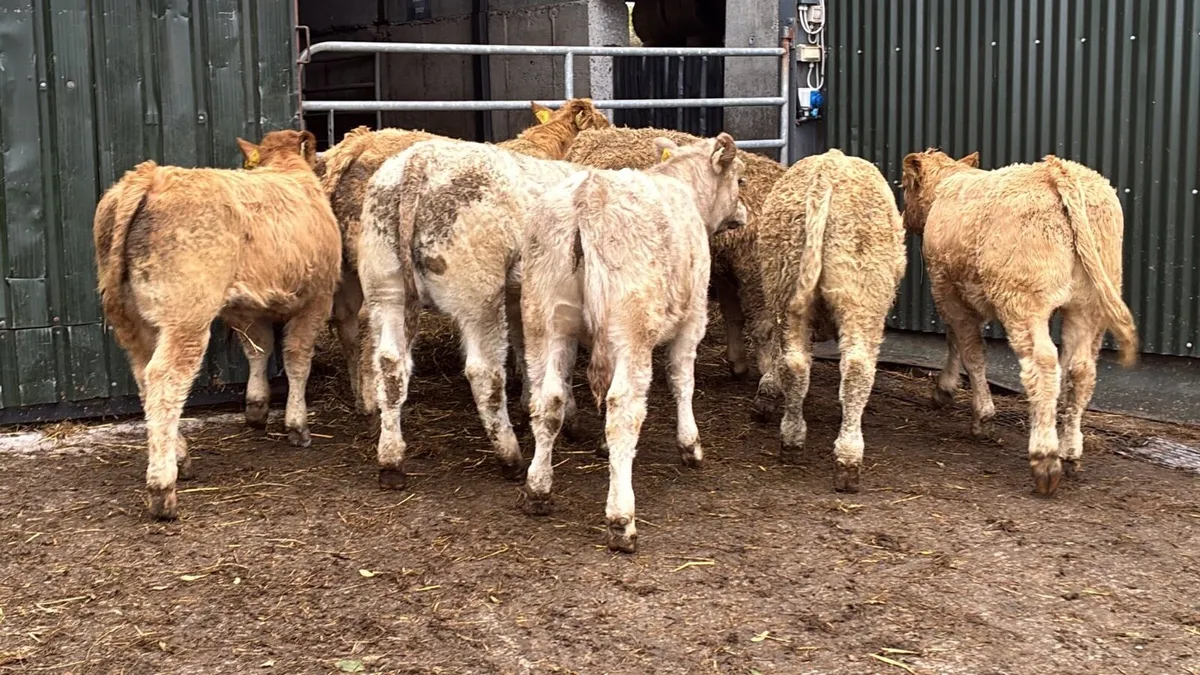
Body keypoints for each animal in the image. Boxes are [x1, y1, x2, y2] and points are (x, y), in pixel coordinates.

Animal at [94, 130, 342, 519]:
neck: (285, 169)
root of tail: (150, 176)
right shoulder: (317, 298)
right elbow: (297, 359)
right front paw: (297, 425)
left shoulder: (244, 308)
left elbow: (259, 349)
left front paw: (256, 407)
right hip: (186, 317)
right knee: (165, 380)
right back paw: (162, 487)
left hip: (128, 319)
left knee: (144, 378)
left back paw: (179, 455)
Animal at [520, 133, 747, 553]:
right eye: (739, 180)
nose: (744, 212)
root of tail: (589, 192)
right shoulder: (693, 319)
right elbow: (682, 381)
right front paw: (690, 445)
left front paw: (603, 450)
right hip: (631, 331)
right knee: (623, 408)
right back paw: (621, 517)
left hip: (545, 324)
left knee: (548, 401)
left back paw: (538, 488)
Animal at [751, 149, 907, 492]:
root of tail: (829, 167)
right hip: (861, 297)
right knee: (857, 367)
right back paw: (848, 459)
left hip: (786, 283)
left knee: (795, 364)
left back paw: (792, 440)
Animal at [901, 149, 1138, 495]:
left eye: (905, 185)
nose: (904, 217)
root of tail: (1060, 171)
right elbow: (957, 340)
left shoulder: (946, 289)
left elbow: (970, 350)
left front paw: (978, 413)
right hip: (1089, 305)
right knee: (1080, 369)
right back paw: (1069, 451)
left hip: (1022, 301)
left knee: (1043, 362)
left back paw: (1045, 458)